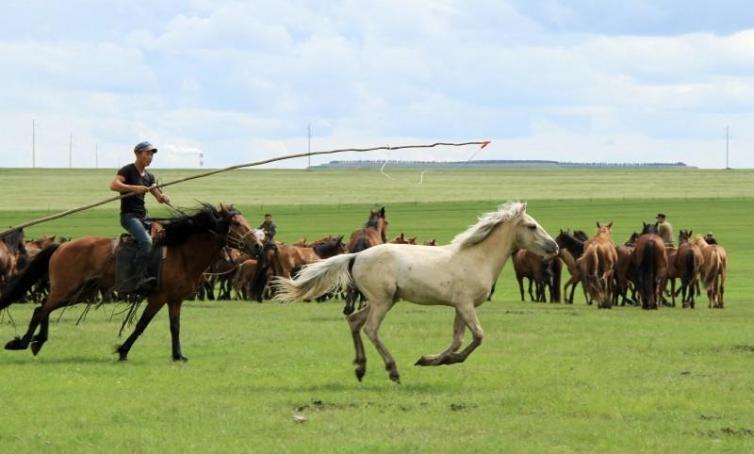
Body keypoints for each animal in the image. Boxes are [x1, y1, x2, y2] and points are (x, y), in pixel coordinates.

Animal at [0, 204, 262, 360]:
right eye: (237, 224)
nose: (258, 246)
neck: (182, 253)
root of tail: (62, 246)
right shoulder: (158, 297)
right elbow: (142, 325)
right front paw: (123, 350)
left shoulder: (175, 299)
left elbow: (175, 327)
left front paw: (178, 355)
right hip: (66, 289)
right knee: (41, 309)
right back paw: (22, 343)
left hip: (77, 292)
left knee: (43, 308)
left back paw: (36, 342)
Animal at [274, 202, 556, 384]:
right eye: (532, 226)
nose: (553, 246)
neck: (477, 258)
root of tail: (356, 256)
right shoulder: (466, 304)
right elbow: (477, 337)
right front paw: (437, 360)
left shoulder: (459, 306)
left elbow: (458, 340)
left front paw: (433, 360)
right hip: (382, 301)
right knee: (370, 329)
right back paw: (392, 370)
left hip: (383, 300)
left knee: (354, 321)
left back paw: (360, 368)